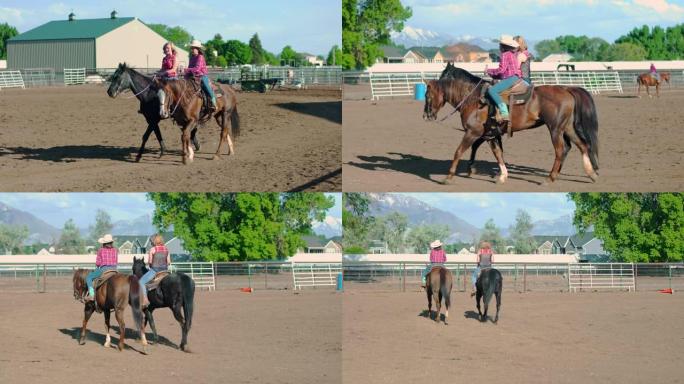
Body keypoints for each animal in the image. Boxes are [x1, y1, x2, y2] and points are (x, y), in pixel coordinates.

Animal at [422, 66, 600, 184]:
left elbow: (459, 151)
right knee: (582, 145)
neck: (473, 98)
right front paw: (502, 175)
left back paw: (550, 177)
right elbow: (497, 153)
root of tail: (567, 89)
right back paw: (591, 174)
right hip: (567, 128)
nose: (426, 115)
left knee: (561, 150)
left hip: (555, 129)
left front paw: (449, 176)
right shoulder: (490, 135)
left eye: (427, 95)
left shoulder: (473, 132)